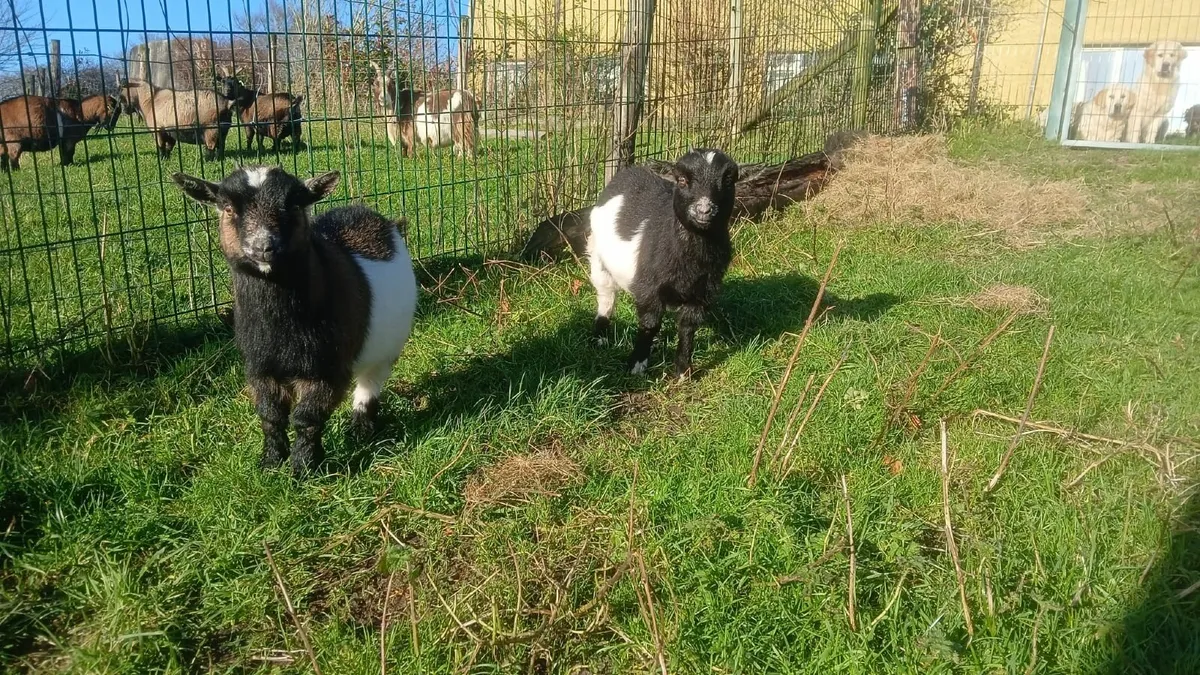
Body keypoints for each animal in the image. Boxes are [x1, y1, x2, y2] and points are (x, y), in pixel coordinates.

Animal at [172, 165, 419, 475]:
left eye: (293, 205)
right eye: (228, 208)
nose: (264, 247)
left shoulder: (327, 369)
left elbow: (307, 418)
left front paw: (304, 468)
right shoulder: (259, 367)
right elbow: (270, 415)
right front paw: (270, 462)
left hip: (387, 349)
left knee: (369, 384)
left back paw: (361, 430)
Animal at [588, 148, 739, 378]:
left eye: (728, 180)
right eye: (682, 180)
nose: (704, 210)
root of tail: (631, 170)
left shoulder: (702, 293)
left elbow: (687, 328)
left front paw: (683, 371)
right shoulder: (649, 287)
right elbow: (650, 324)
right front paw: (637, 364)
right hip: (598, 257)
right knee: (606, 297)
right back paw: (600, 337)